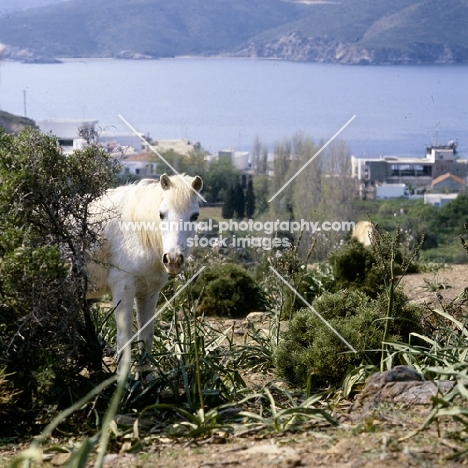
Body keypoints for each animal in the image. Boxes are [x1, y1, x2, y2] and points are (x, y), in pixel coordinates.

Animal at [86, 174, 203, 368]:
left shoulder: (148, 293)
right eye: (161, 214)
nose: (173, 259)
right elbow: (124, 341)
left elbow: (146, 340)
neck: (137, 232)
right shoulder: (123, 290)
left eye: (195, 216)